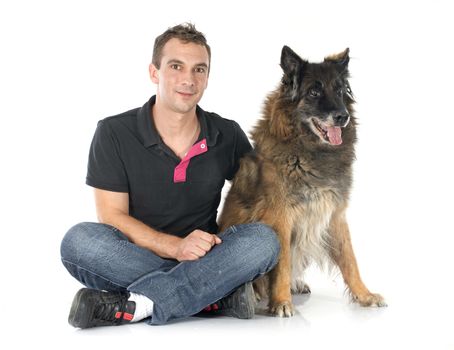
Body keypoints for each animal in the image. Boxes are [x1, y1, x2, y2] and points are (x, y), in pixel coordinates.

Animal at [220, 45, 386, 318]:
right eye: (314, 92)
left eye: (339, 90)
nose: (342, 116)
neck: (309, 149)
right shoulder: (280, 217)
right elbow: (283, 262)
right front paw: (281, 302)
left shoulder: (334, 213)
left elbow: (350, 259)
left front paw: (364, 295)